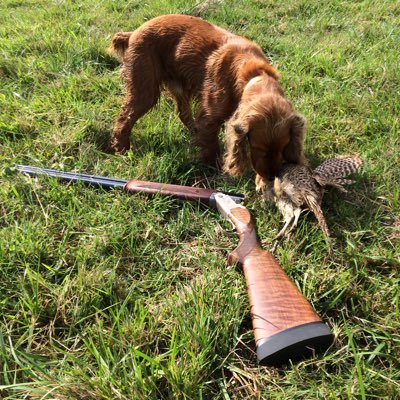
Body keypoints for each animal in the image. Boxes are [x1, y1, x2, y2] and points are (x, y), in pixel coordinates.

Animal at [108, 14, 304, 184]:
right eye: (258, 147)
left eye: (283, 147)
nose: (271, 177)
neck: (253, 74)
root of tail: (133, 32)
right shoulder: (210, 117)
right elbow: (211, 145)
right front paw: (213, 168)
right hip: (145, 90)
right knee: (125, 118)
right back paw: (122, 148)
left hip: (179, 86)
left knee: (183, 113)